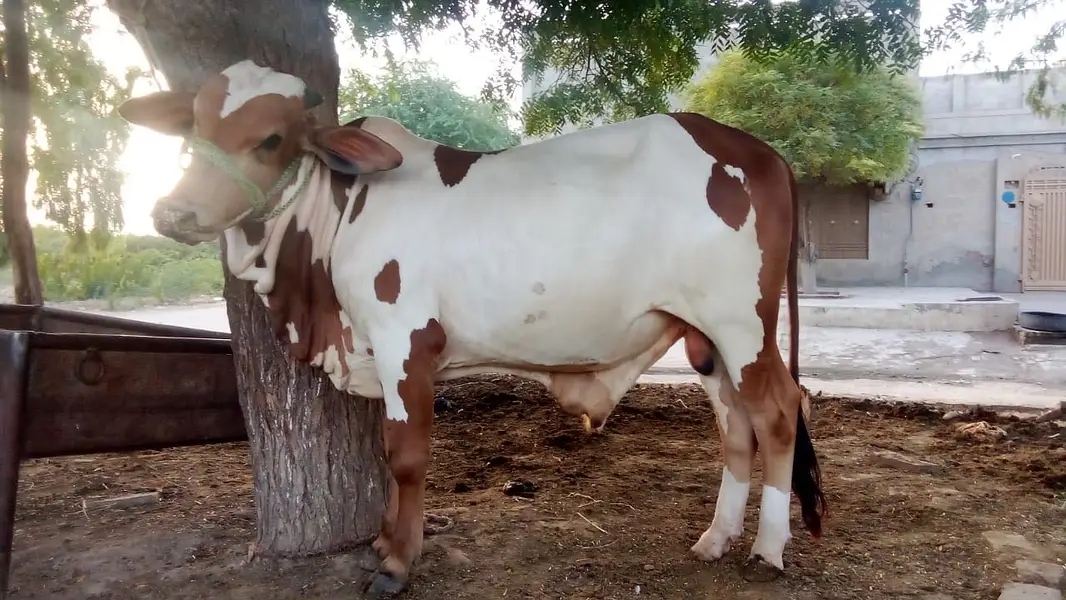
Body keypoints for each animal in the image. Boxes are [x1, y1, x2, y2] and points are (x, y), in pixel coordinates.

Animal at [117, 59, 827, 597]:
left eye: (271, 139)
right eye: (195, 125)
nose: (174, 211)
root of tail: (758, 149)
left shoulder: (405, 342)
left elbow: (404, 456)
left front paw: (397, 562)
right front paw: (384, 539)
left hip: (741, 324)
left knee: (779, 411)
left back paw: (768, 548)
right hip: (705, 338)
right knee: (736, 426)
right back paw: (716, 538)